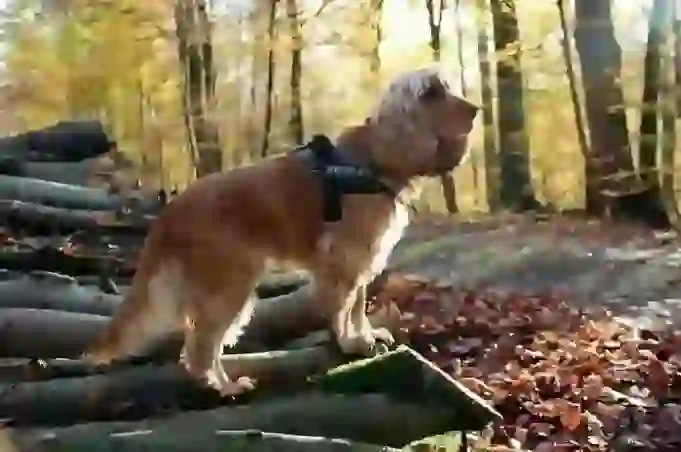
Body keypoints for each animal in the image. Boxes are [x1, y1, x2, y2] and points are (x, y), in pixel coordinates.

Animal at [81, 67, 478, 396]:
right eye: (430, 92)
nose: (476, 109)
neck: (372, 160)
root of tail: (172, 210)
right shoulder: (343, 258)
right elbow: (343, 308)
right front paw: (349, 343)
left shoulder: (363, 259)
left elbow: (358, 306)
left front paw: (365, 335)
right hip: (229, 286)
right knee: (199, 349)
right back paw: (225, 388)